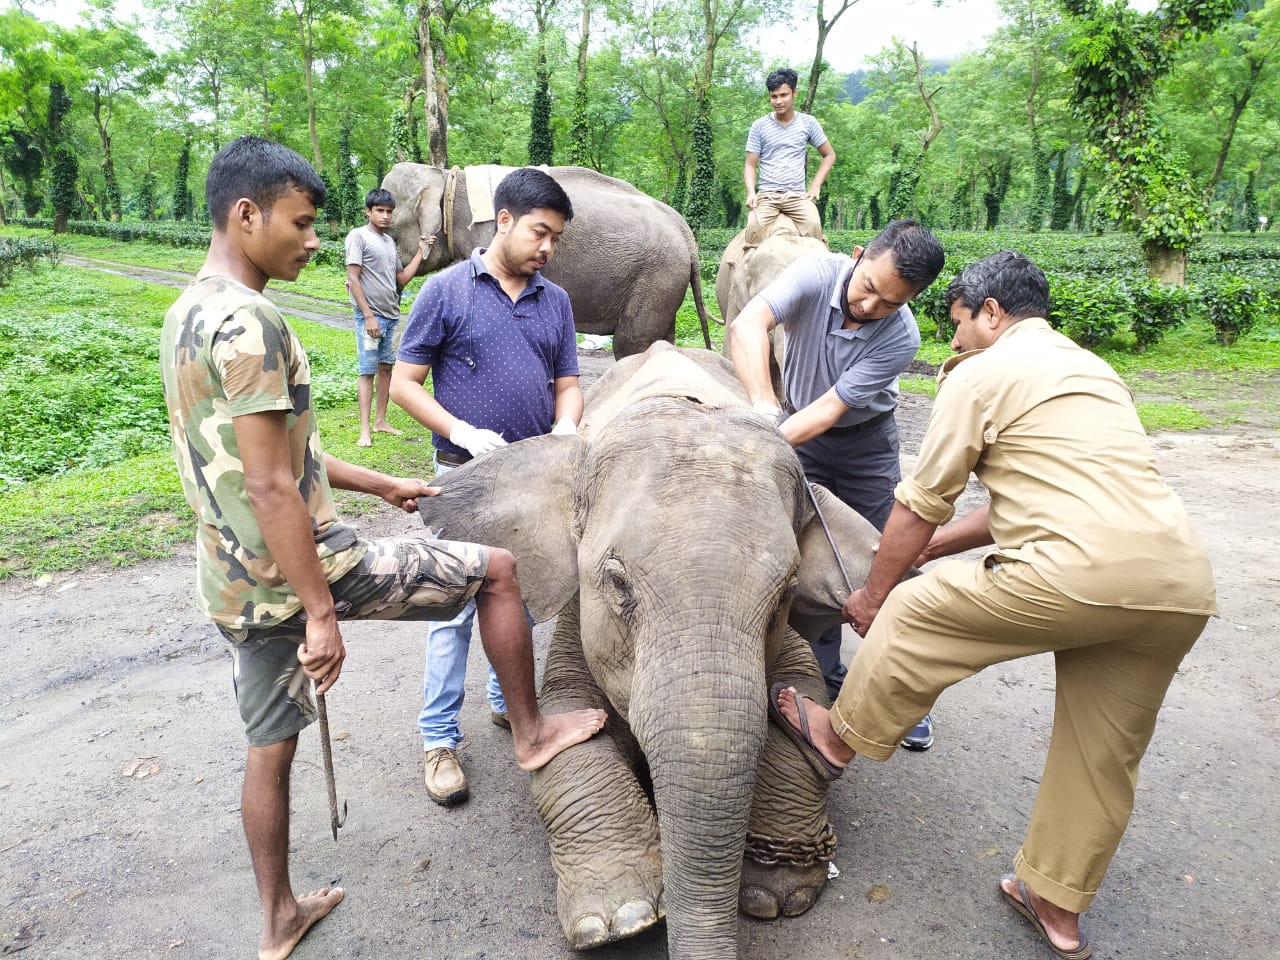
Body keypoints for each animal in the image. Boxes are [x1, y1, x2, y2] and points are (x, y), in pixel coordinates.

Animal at [384, 163, 716, 358]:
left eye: (389, 227)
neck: (447, 180)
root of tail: (685, 231)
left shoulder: (488, 233)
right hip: (665, 282)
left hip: (657, 277)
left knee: (631, 343)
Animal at [414, 343, 885, 960]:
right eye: (617, 584)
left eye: (786, 592)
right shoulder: (581, 613)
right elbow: (566, 726)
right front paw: (621, 920)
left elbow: (803, 703)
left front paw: (775, 896)